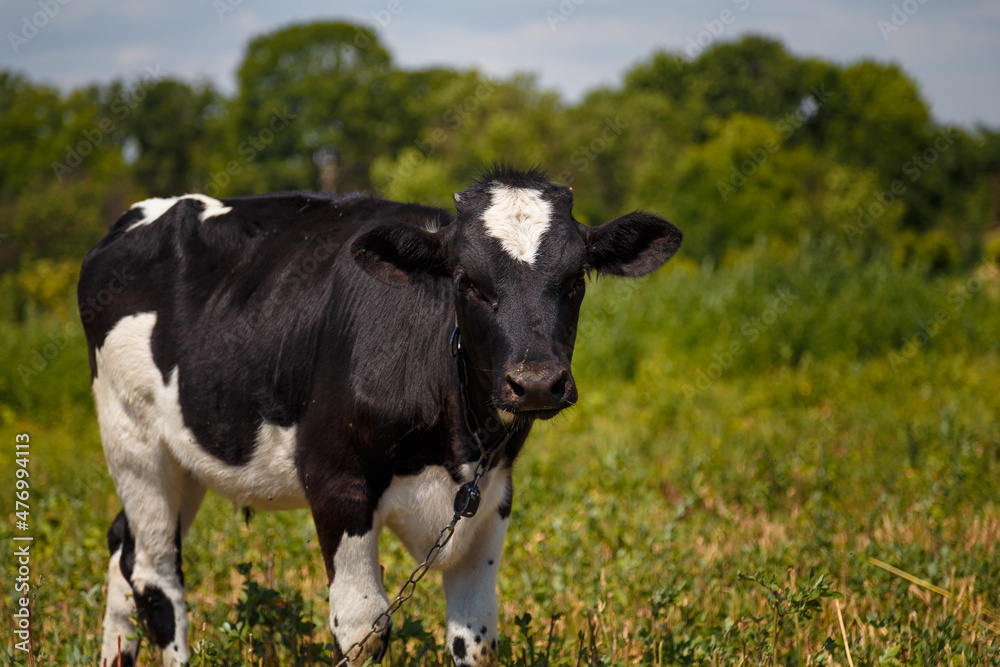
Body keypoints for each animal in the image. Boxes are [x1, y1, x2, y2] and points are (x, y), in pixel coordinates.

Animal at [82, 164, 684, 664]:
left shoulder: (492, 492)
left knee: (122, 548)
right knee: (157, 578)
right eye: (466, 281)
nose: (536, 382)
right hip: (133, 439)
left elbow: (476, 635)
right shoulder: (336, 481)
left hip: (183, 459)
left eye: (575, 279)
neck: (454, 441)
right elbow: (363, 626)